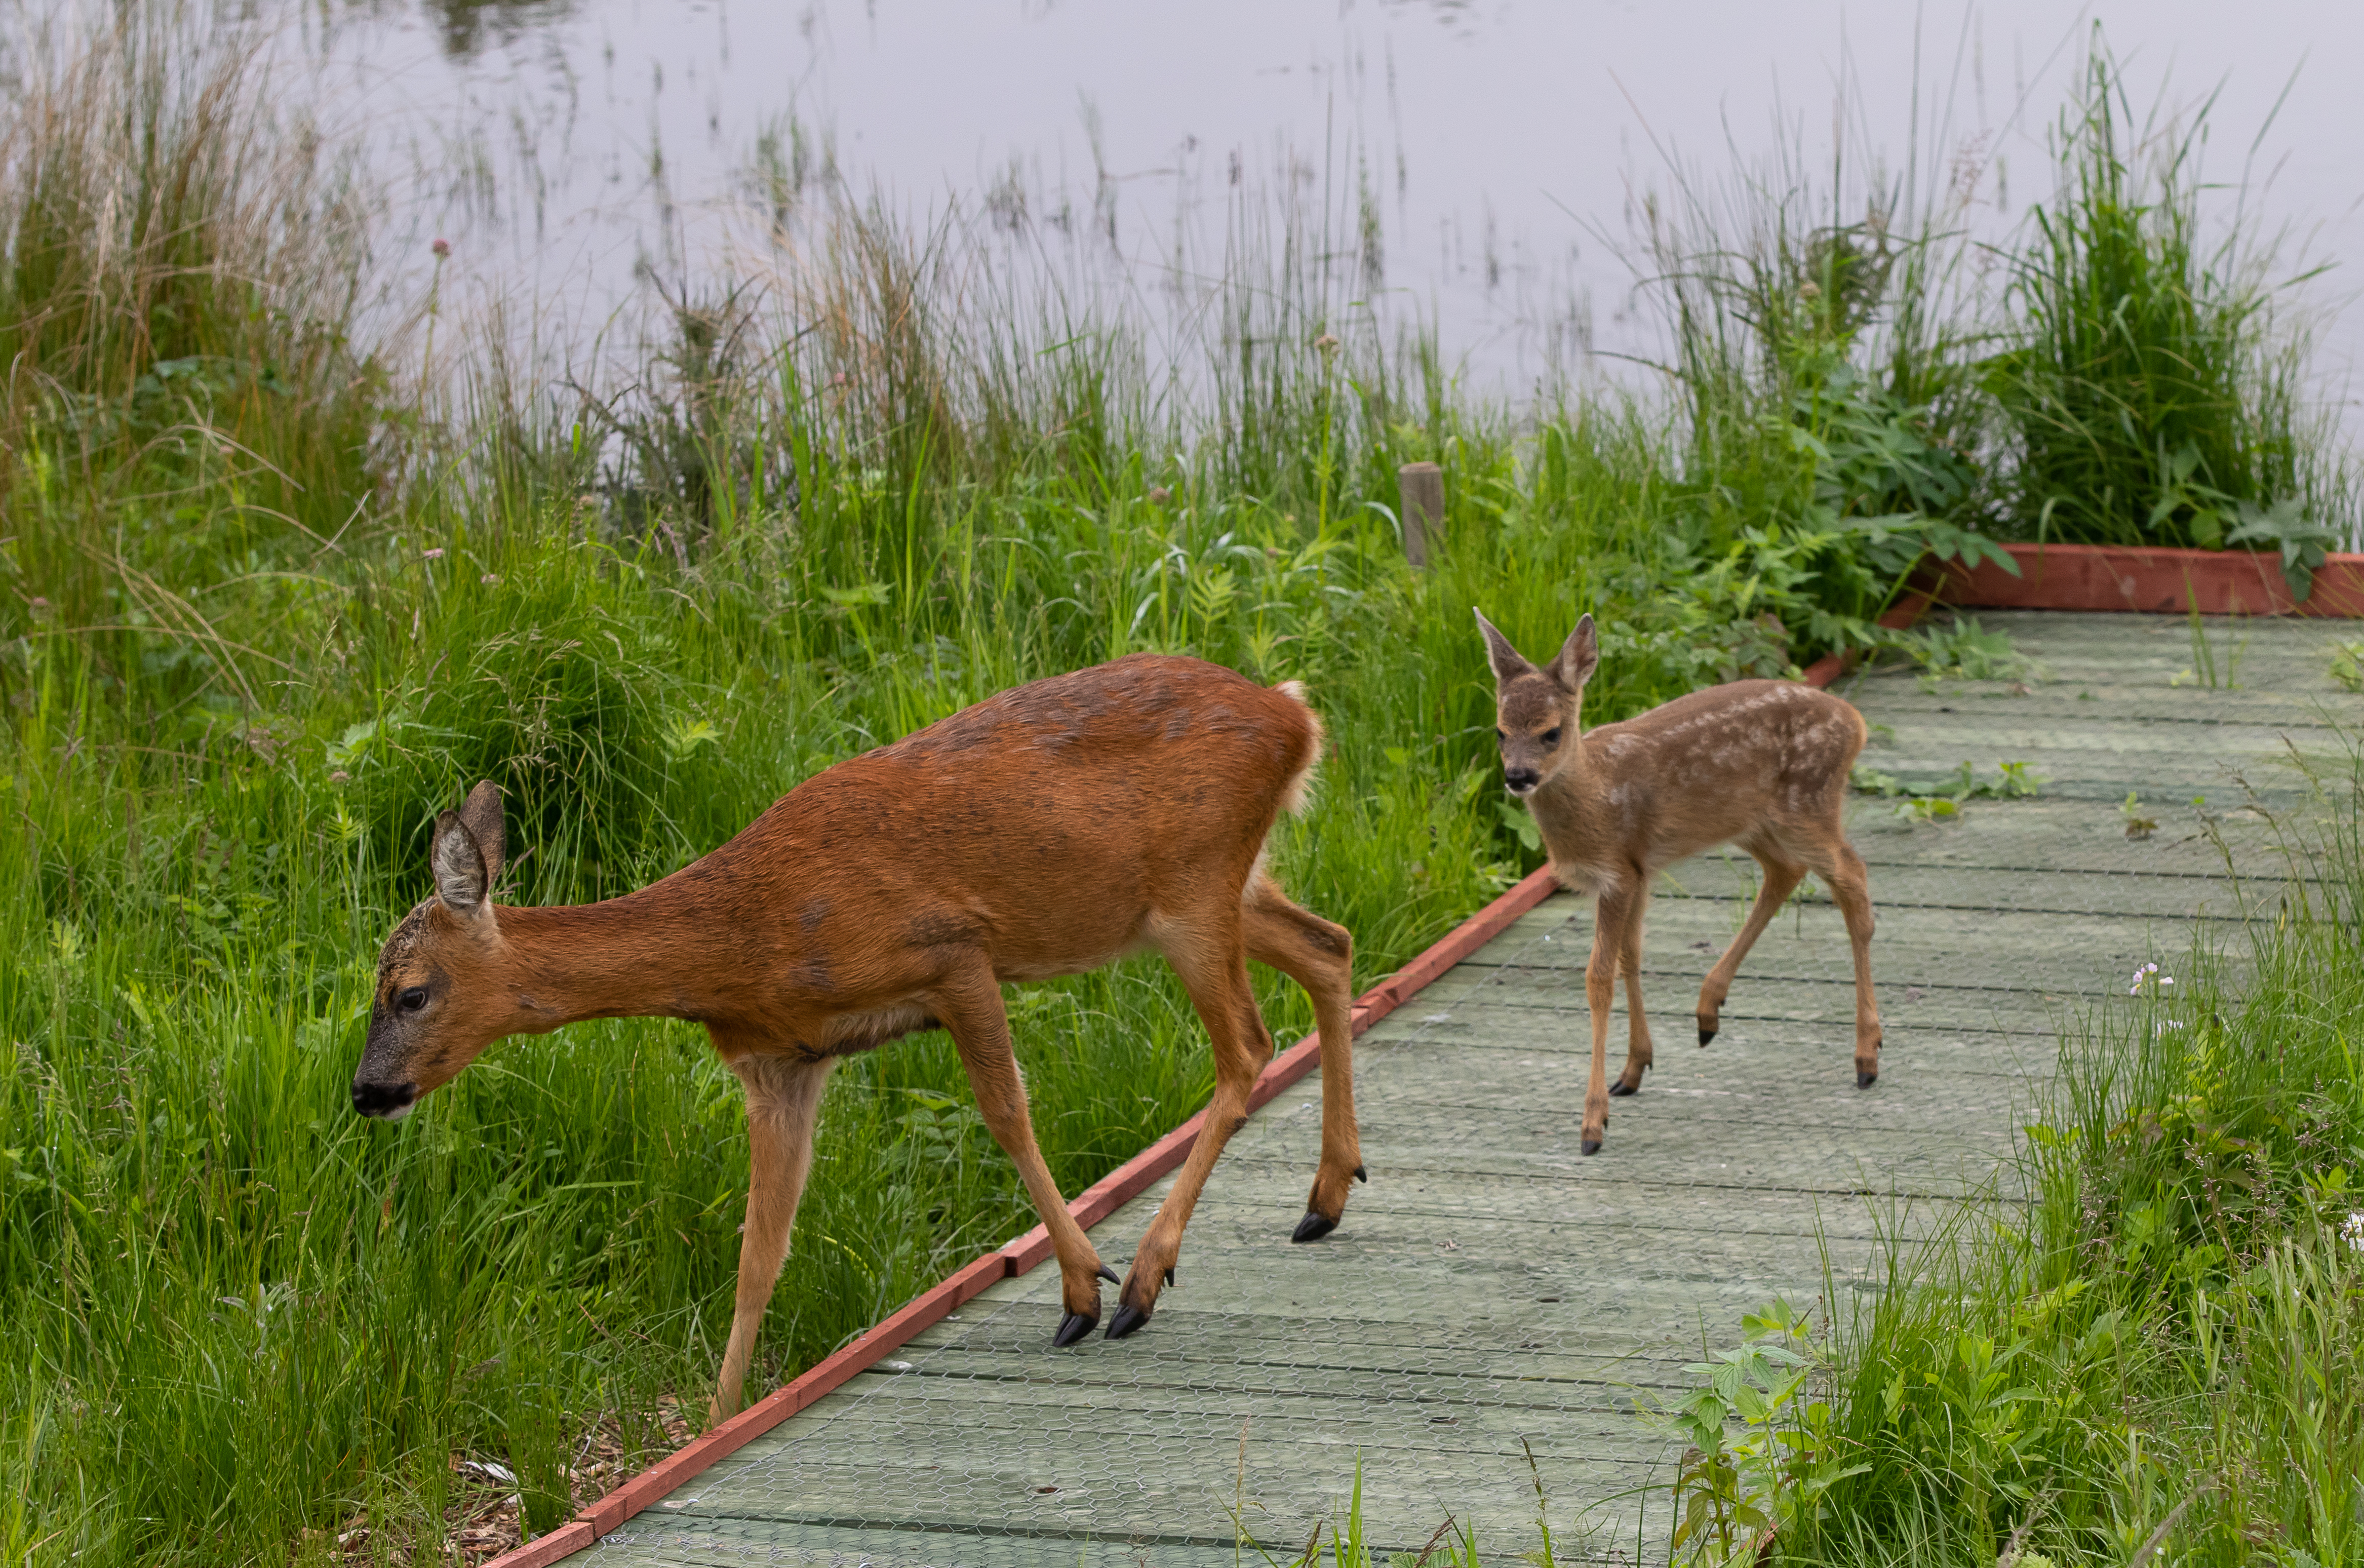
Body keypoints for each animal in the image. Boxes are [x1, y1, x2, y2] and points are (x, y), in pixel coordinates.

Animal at [349, 654, 1364, 1421]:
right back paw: (1325, 1194)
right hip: (1215, 891)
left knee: (1246, 1045)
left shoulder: (953, 953)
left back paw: (1144, 1282)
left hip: (1193, 888)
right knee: (1330, 946)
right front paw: (718, 1422)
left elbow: (1007, 1114)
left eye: (409, 992)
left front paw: (1081, 1289)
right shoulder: (782, 1062)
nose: (365, 1091)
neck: (743, 937)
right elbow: (759, 1250)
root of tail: (1293, 714)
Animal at [1473, 610, 1881, 1156]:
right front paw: (1634, 1069)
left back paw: (1867, 1057)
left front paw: (1592, 1125)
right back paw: (1709, 1013)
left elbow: (1598, 979)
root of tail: (1856, 722)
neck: (1595, 797)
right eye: (1499, 733)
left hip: (1808, 804)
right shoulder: (1637, 871)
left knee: (1852, 877)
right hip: (1752, 821)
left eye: (1551, 733)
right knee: (1786, 872)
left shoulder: (1617, 873)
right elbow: (1631, 957)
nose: (1518, 776)